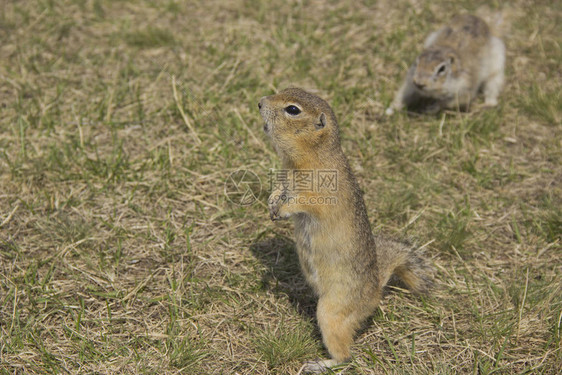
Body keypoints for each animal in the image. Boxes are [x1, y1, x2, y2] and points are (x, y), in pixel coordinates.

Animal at [258, 88, 434, 374]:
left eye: (293, 110)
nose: (260, 102)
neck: (311, 154)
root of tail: (376, 291)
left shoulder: (320, 192)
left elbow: (305, 203)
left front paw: (283, 209)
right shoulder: (285, 176)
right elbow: (279, 189)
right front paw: (272, 202)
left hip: (330, 312)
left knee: (346, 356)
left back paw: (319, 364)